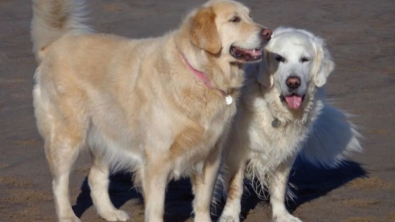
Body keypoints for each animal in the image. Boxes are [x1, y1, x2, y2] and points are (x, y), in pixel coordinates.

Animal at [31, 0, 272, 222]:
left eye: (250, 16)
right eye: (234, 20)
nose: (268, 33)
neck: (199, 75)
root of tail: (54, 45)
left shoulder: (210, 155)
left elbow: (203, 202)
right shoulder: (157, 160)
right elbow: (156, 208)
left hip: (107, 134)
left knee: (95, 177)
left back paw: (111, 213)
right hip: (68, 136)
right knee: (59, 182)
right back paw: (67, 216)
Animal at [218, 27, 364, 222]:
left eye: (305, 59)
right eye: (279, 58)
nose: (293, 82)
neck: (276, 111)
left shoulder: (286, 152)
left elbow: (279, 187)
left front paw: (282, 215)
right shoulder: (236, 153)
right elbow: (235, 188)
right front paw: (230, 216)